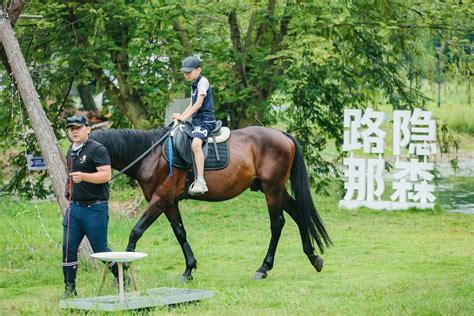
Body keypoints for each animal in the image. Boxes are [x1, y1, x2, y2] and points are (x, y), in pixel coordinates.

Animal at [90, 125, 332, 278]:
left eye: (85, 159)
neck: (151, 155)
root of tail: (282, 135)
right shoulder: (169, 202)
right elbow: (180, 233)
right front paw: (189, 269)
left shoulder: (160, 200)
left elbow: (136, 231)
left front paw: (123, 267)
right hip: (275, 189)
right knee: (299, 214)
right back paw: (314, 258)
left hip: (272, 189)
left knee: (277, 223)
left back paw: (263, 268)